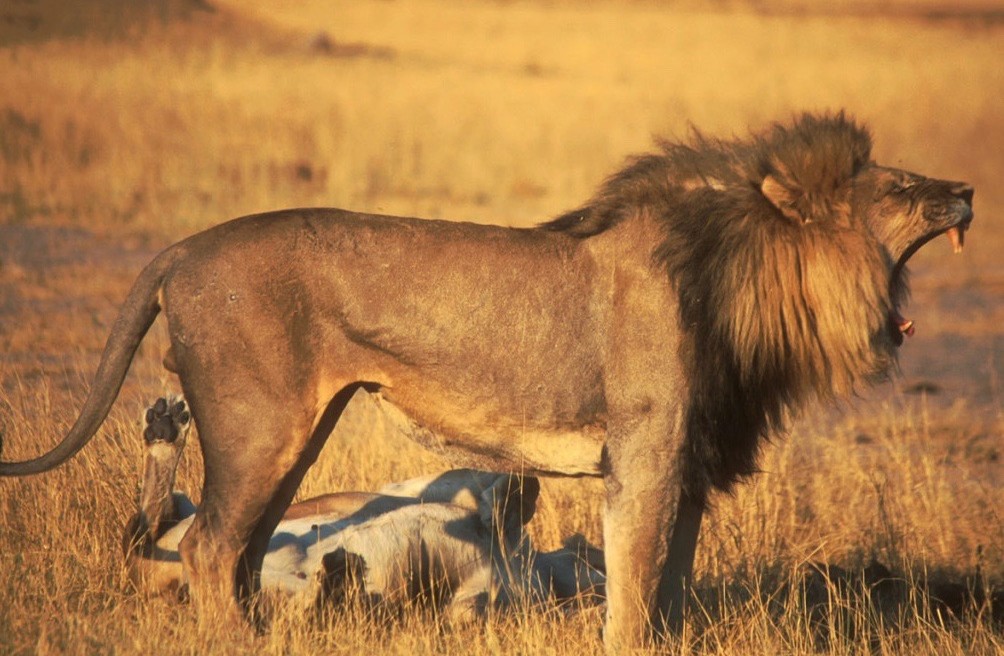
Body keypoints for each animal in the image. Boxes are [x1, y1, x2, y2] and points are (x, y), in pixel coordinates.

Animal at [127, 395, 602, 614]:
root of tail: (149, 584)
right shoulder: (427, 489)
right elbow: (497, 489)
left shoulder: (479, 600)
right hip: (187, 516)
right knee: (148, 524)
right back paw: (165, 429)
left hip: (253, 584)